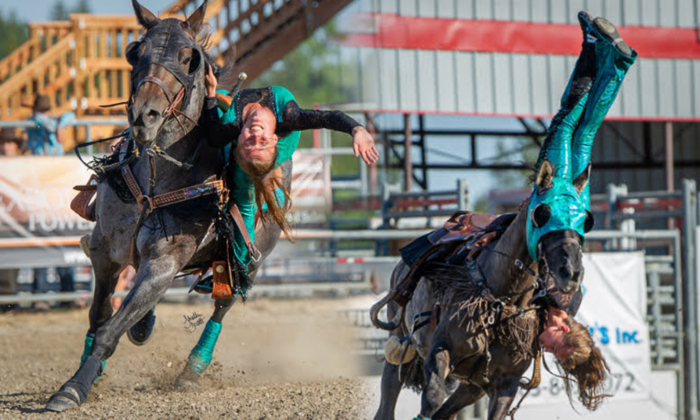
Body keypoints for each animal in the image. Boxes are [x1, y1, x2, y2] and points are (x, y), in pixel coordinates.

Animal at [45, 0, 286, 412]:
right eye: (135, 52)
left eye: (189, 58)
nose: (145, 116)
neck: (154, 183)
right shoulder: (104, 252)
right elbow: (99, 316)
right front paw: (90, 373)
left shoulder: (162, 264)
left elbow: (110, 329)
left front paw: (73, 388)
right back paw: (145, 326)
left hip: (248, 261)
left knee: (222, 307)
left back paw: (192, 370)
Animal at [370, 159, 588, 418]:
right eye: (543, 213)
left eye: (585, 219)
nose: (571, 272)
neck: (501, 302)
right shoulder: (440, 350)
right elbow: (433, 400)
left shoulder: (503, 384)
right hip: (399, 344)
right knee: (388, 402)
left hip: (469, 386)